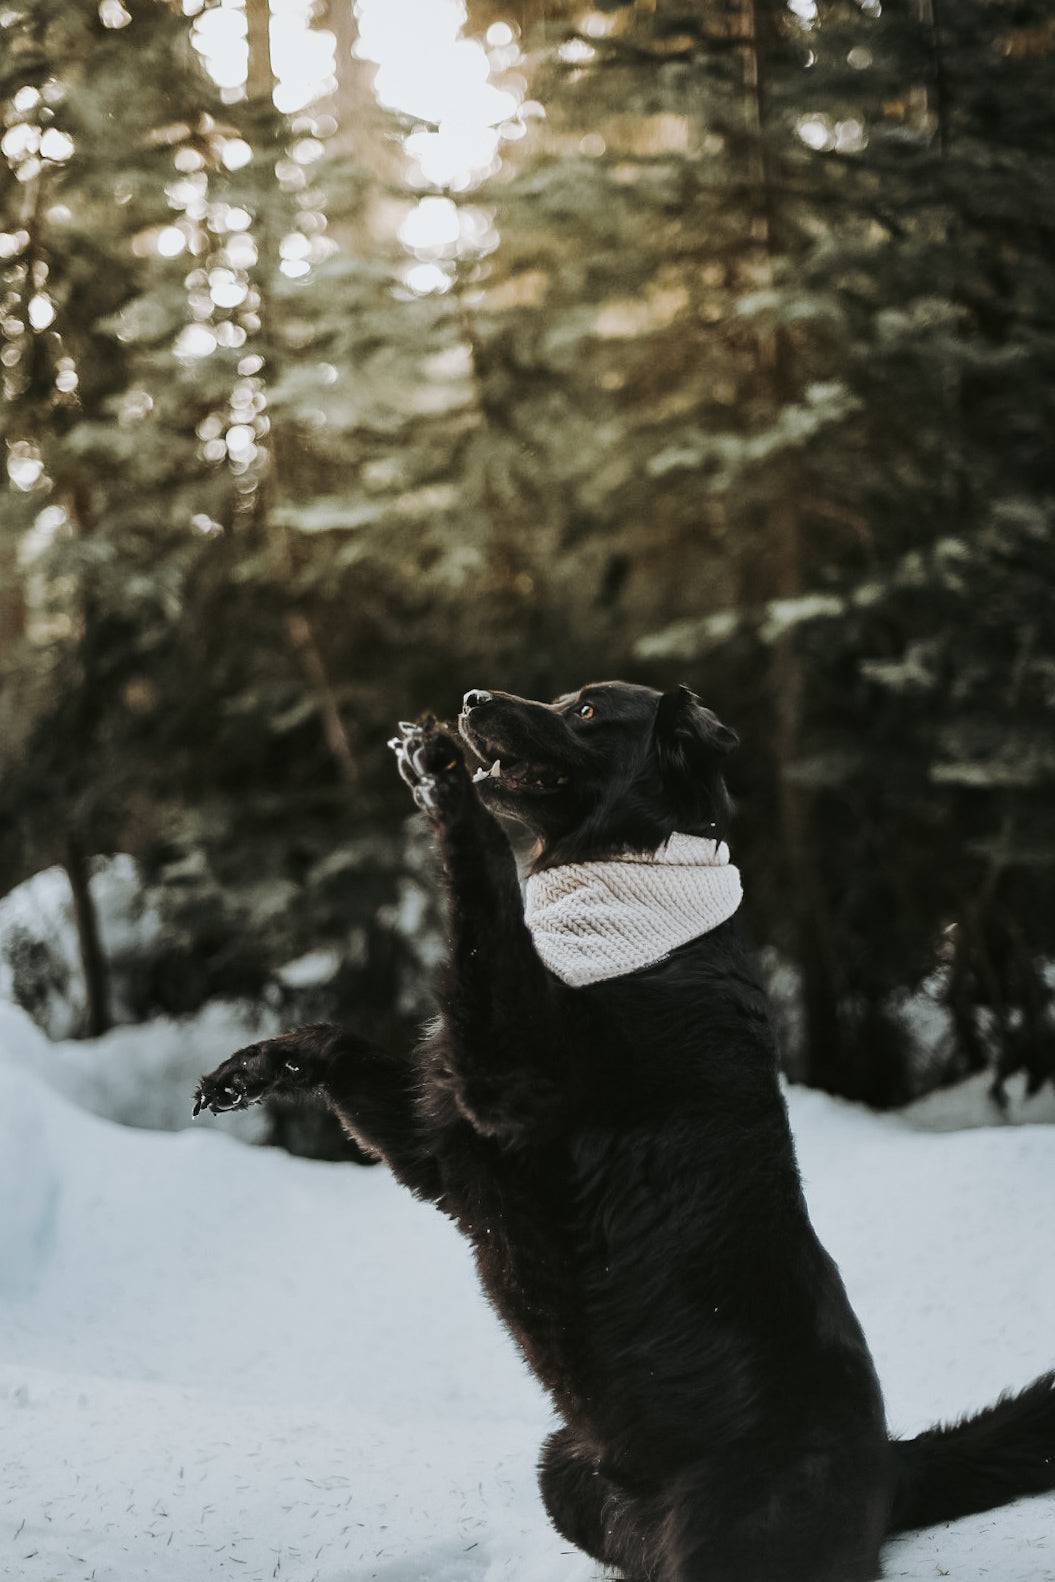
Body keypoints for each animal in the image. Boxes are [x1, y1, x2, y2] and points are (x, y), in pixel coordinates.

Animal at [192, 683, 1055, 1582]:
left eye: (582, 711)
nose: (470, 699)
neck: (635, 915)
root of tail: (895, 1466)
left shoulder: (508, 1072)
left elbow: (488, 904)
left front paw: (444, 784)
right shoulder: (446, 1139)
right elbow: (344, 1042)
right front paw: (262, 1065)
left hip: (735, 1539)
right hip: (563, 1471)